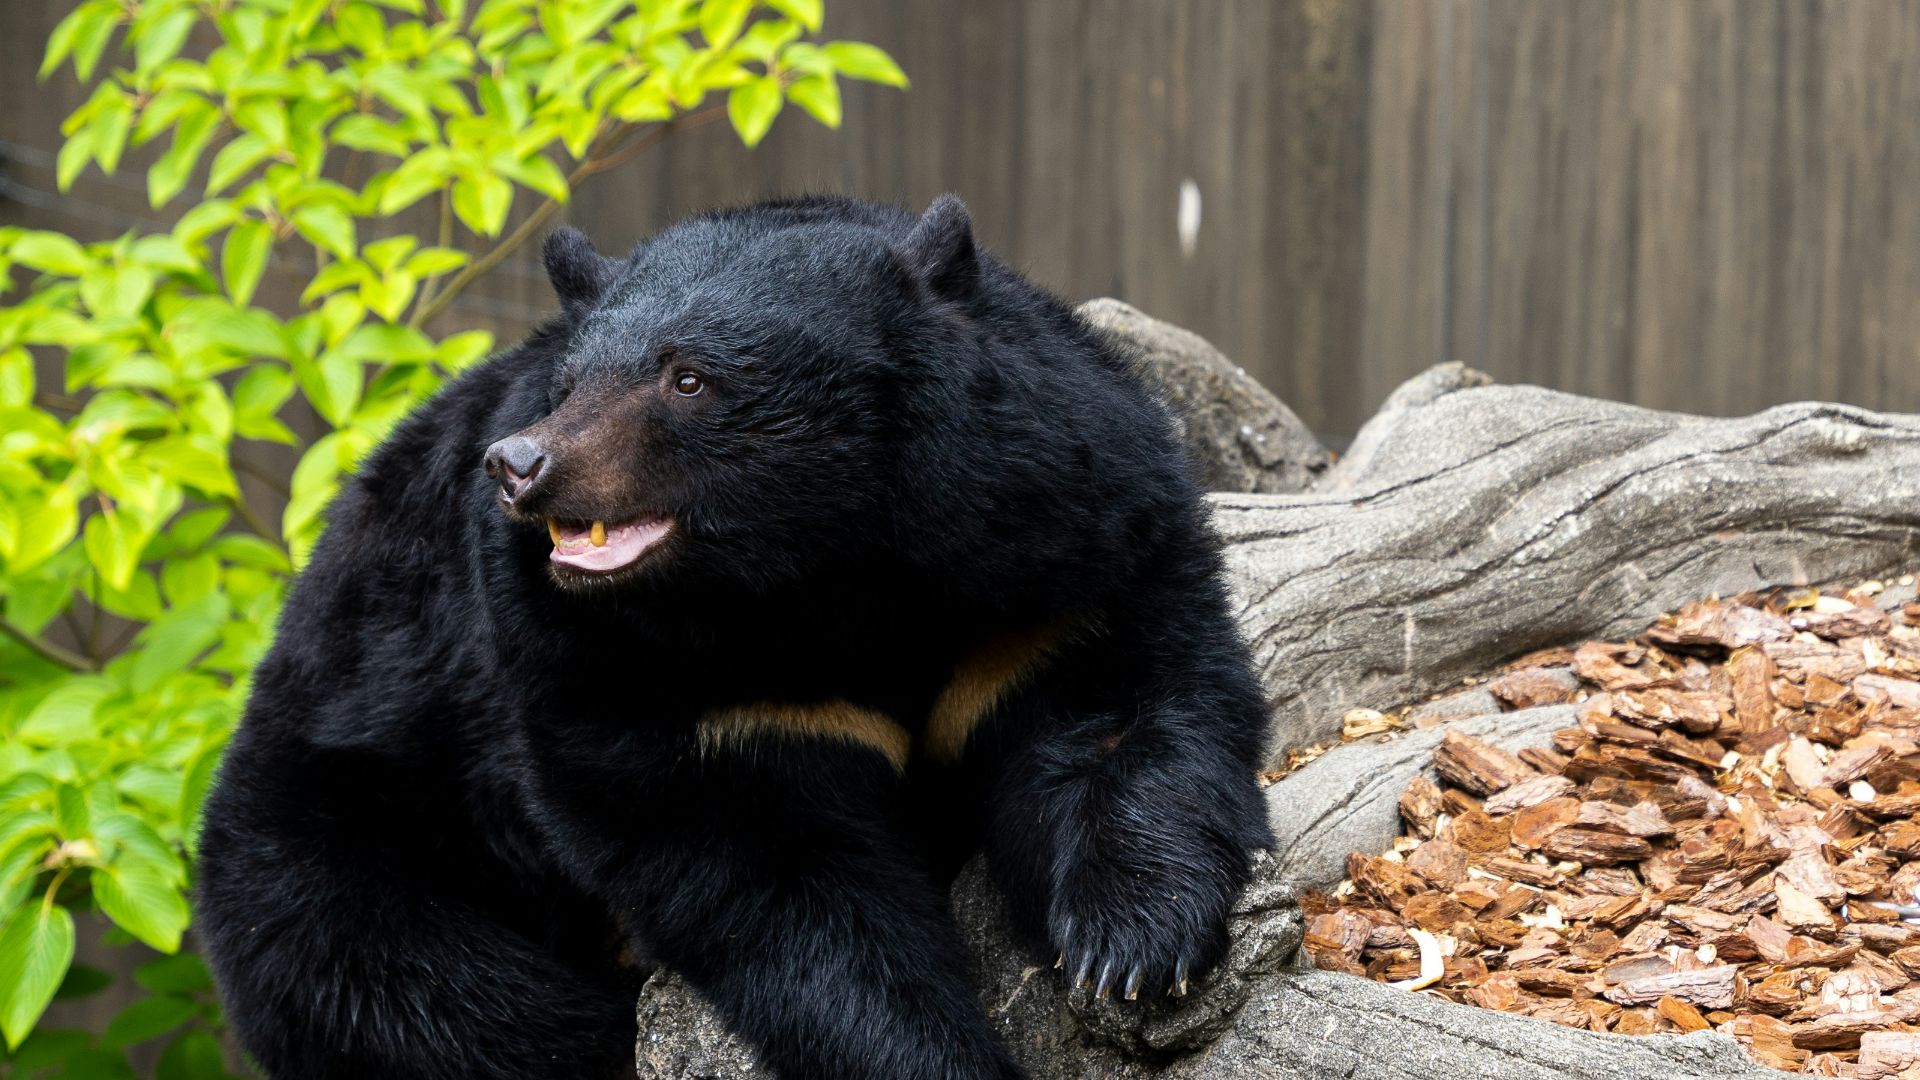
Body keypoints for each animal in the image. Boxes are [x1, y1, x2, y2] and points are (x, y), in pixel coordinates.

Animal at [194, 194, 1275, 1080]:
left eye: (687, 377)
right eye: (570, 381)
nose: (521, 464)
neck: (825, 572)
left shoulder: (1053, 559)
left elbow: (1120, 705)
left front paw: (1131, 946)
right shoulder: (641, 679)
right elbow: (780, 887)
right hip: (346, 827)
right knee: (429, 999)